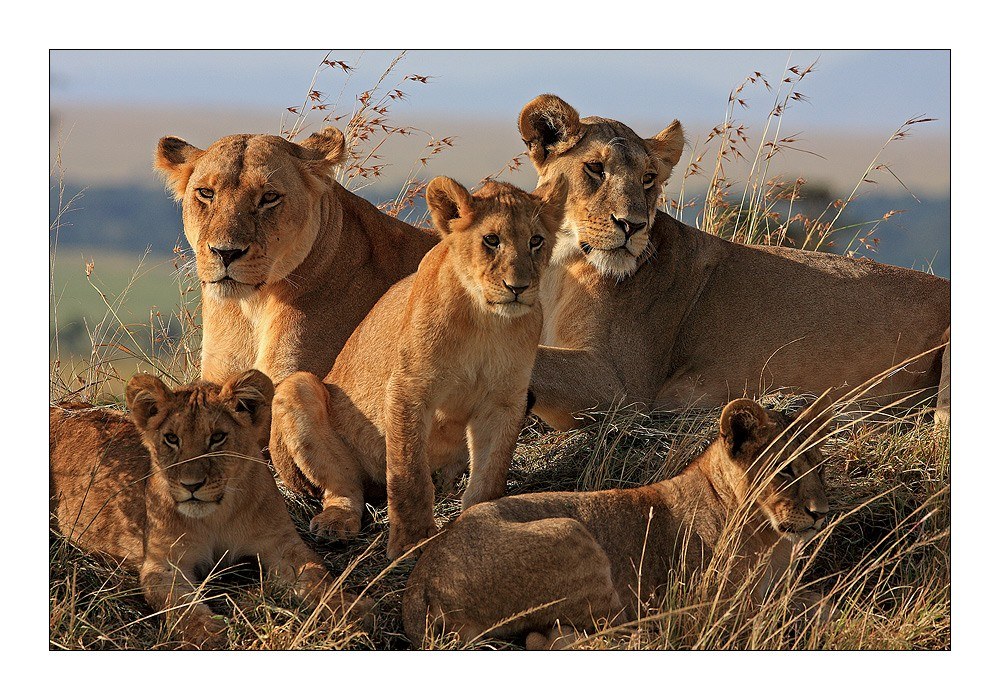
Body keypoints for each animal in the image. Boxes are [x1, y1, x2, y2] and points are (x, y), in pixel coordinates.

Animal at [49, 370, 371, 649]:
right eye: (172, 438)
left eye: (217, 437)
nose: (191, 485)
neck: (217, 515)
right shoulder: (165, 564)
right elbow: (181, 606)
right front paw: (210, 634)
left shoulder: (282, 546)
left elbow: (318, 576)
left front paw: (352, 608)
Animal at [270, 176, 567, 559]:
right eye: (491, 240)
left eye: (536, 241)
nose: (518, 287)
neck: (487, 322)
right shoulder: (408, 389)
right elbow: (409, 473)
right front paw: (412, 542)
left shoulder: (505, 400)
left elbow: (490, 474)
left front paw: (481, 526)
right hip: (298, 388)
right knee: (345, 488)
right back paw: (335, 524)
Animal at [402, 396, 833, 649]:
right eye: (785, 472)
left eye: (821, 468)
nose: (821, 513)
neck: (772, 540)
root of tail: (420, 588)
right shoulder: (714, 604)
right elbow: (783, 611)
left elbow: (817, 599)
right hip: (574, 535)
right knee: (604, 634)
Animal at [516, 95, 951, 431]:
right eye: (595, 167)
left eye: (648, 178)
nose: (633, 225)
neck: (563, 264)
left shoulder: (624, 389)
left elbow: (538, 362)